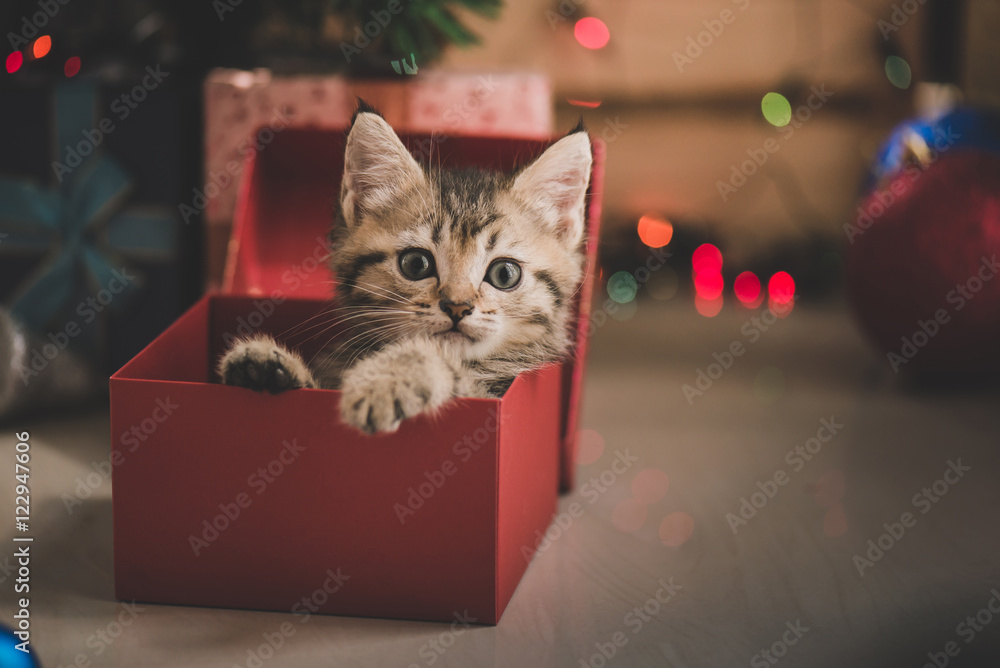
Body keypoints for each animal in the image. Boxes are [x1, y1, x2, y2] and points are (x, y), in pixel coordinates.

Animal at [219, 102, 588, 436]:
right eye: (415, 264)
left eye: (505, 274)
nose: (458, 307)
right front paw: (265, 364)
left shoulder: (490, 389)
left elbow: (441, 362)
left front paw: (384, 381)